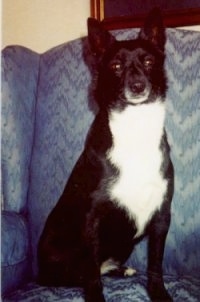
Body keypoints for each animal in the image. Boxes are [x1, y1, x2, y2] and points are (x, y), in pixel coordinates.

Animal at [37, 8, 173, 302]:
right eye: (116, 66)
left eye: (148, 61)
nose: (137, 85)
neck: (135, 128)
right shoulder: (92, 220)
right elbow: (91, 274)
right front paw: (94, 295)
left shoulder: (161, 216)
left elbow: (156, 264)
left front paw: (159, 294)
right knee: (75, 273)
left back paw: (120, 269)